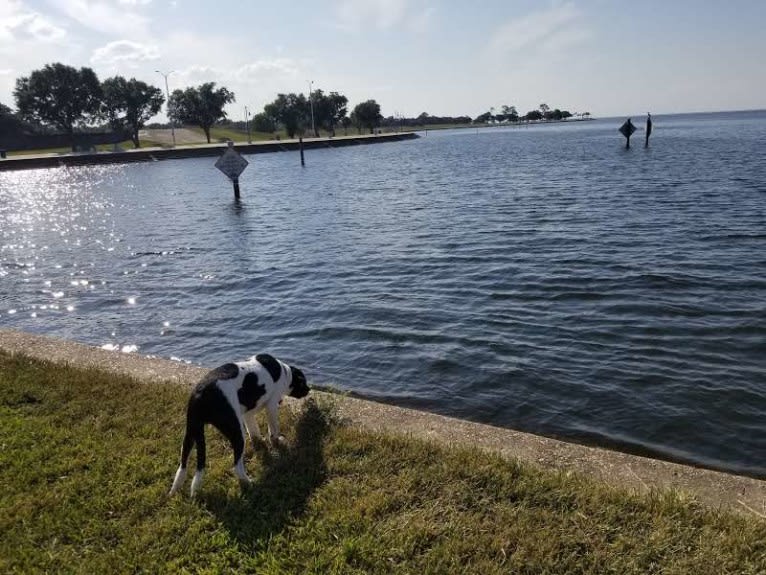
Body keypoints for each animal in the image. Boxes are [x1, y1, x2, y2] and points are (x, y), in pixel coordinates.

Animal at [170, 354, 310, 498]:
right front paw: (277, 441)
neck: (284, 372)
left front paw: (260, 443)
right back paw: (249, 483)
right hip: (237, 434)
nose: (309, 390)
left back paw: (174, 491)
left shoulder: (248, 414)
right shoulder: (272, 406)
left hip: (190, 434)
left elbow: (254, 431)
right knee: (237, 466)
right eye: (304, 382)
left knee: (182, 466)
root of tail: (201, 393)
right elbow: (273, 429)